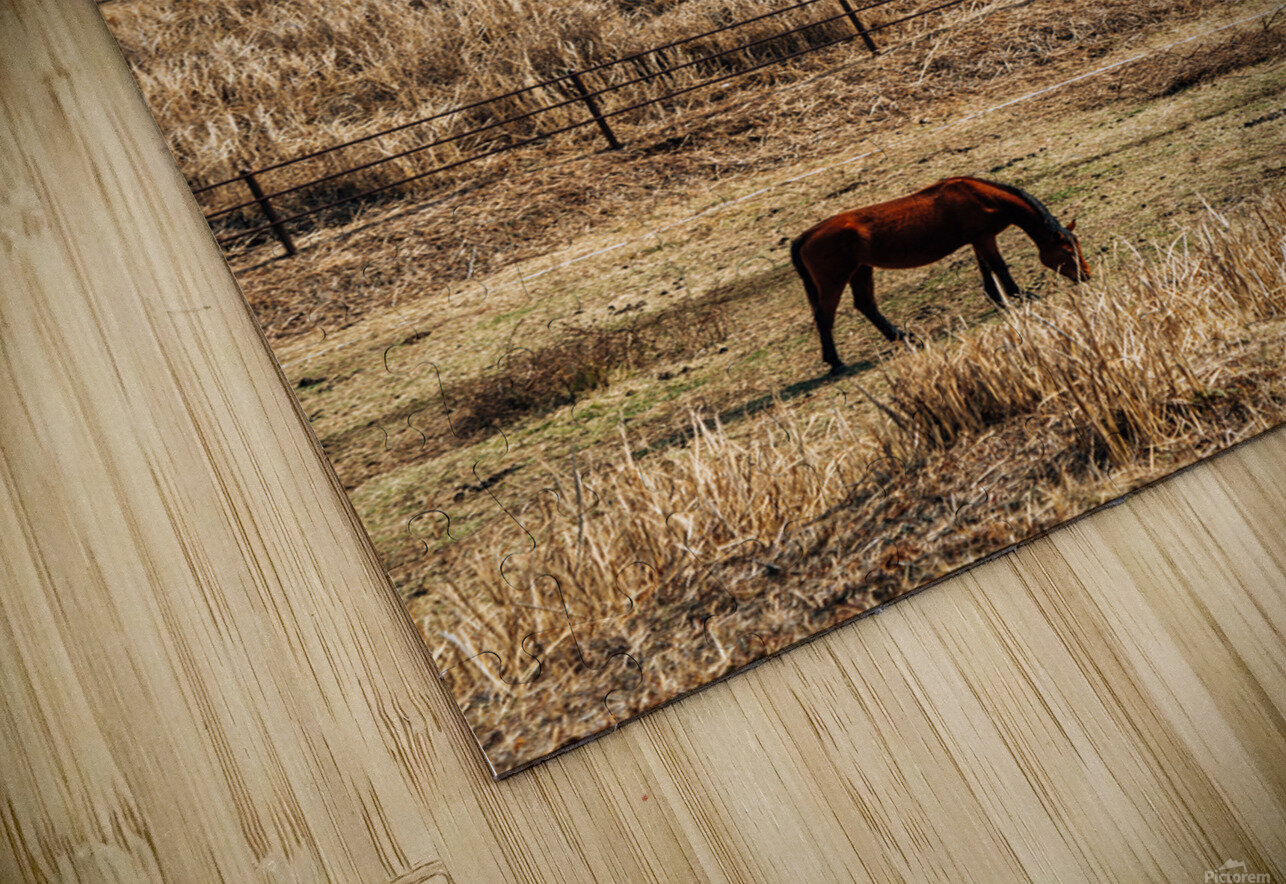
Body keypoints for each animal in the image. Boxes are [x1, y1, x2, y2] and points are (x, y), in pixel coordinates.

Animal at [789, 176, 1090, 374]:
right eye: (1067, 251)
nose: (1085, 275)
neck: (982, 196)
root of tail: (806, 236)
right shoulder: (983, 238)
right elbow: (999, 267)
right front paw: (1022, 295)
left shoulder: (979, 239)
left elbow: (987, 270)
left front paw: (997, 298)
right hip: (835, 280)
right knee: (825, 317)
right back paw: (835, 362)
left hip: (861, 270)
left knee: (866, 305)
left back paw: (903, 337)